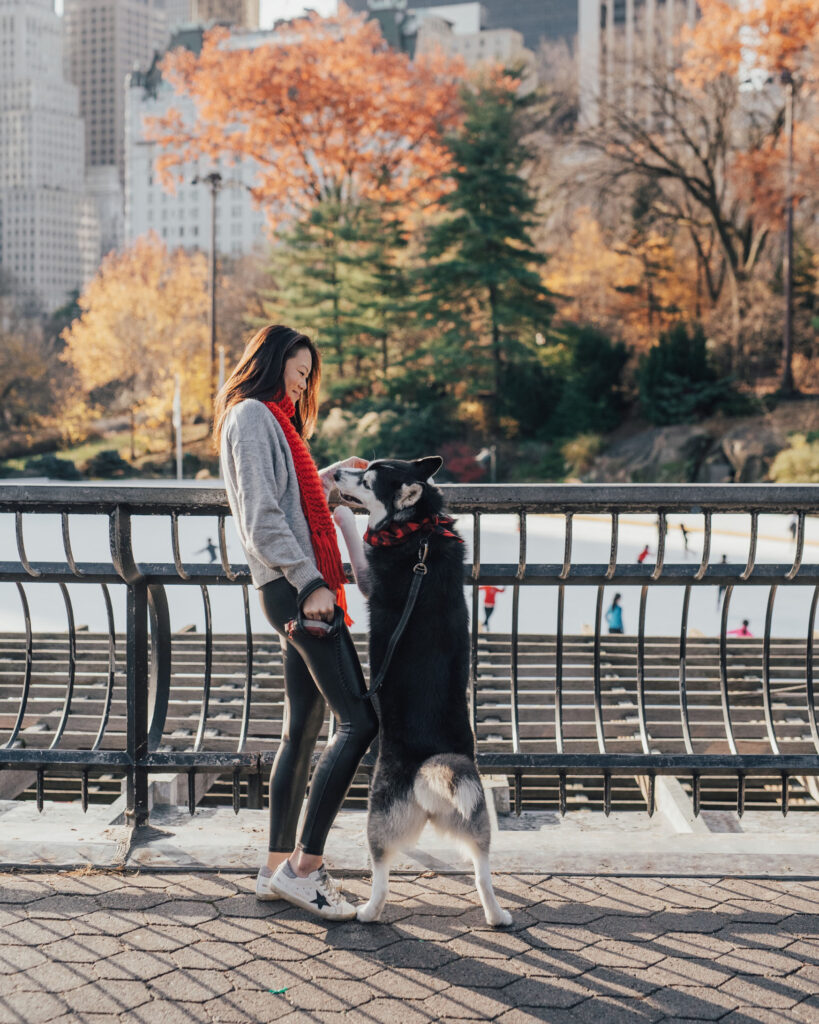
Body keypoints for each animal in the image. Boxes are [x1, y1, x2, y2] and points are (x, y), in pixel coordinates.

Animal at [331, 458, 511, 929]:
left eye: (367, 480)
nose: (336, 475)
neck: (420, 531)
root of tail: (430, 766)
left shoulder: (367, 577)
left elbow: (356, 540)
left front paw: (341, 514)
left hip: (379, 816)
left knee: (381, 873)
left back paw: (368, 912)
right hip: (475, 821)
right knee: (482, 871)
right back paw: (497, 914)